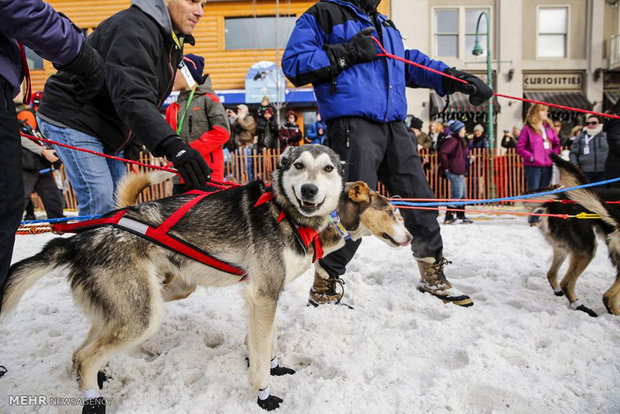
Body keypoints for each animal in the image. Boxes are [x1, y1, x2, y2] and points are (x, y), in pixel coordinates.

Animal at [524, 153, 620, 316]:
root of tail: (554, 200)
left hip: (563, 247)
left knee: (552, 274)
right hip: (586, 249)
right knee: (570, 284)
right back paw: (584, 307)